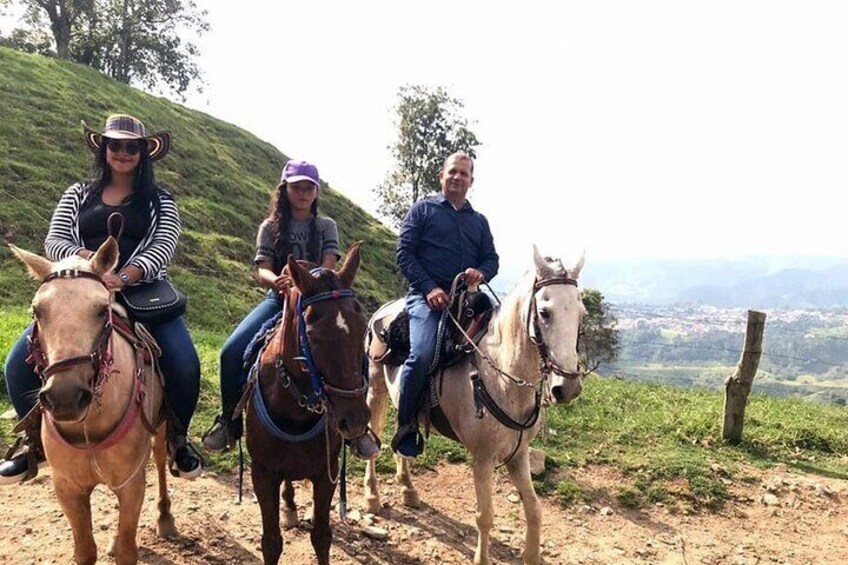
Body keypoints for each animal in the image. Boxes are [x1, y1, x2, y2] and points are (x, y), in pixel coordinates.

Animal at [9, 238, 174, 564]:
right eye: (37, 310)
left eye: (101, 310)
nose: (65, 397)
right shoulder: (68, 487)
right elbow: (85, 550)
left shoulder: (131, 484)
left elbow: (127, 551)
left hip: (160, 431)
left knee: (161, 461)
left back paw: (165, 518)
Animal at [247, 242, 372, 564]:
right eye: (313, 337)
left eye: (363, 328)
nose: (354, 420)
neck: (295, 411)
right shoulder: (262, 474)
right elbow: (271, 542)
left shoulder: (325, 474)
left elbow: (322, 537)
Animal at [362, 247, 588, 564]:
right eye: (544, 312)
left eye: (581, 313)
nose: (567, 388)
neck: (501, 376)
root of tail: (385, 311)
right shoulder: (482, 458)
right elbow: (485, 515)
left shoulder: (519, 454)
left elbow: (534, 509)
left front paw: (532, 554)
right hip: (376, 390)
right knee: (374, 437)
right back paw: (372, 497)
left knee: (403, 433)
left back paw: (408, 487)